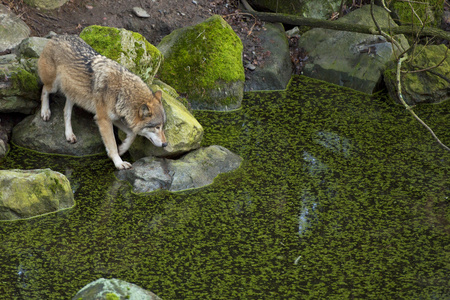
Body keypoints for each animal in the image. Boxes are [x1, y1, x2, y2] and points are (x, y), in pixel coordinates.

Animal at [37, 34, 167, 169]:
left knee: (66, 112)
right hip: (53, 86)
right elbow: (112, 144)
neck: (121, 92)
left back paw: (69, 135)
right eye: (157, 127)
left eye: (162, 127)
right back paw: (45, 112)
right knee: (44, 90)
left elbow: (132, 135)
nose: (165, 144)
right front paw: (119, 163)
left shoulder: (115, 119)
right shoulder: (103, 120)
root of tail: (57, 36)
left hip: (73, 94)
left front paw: (122, 148)